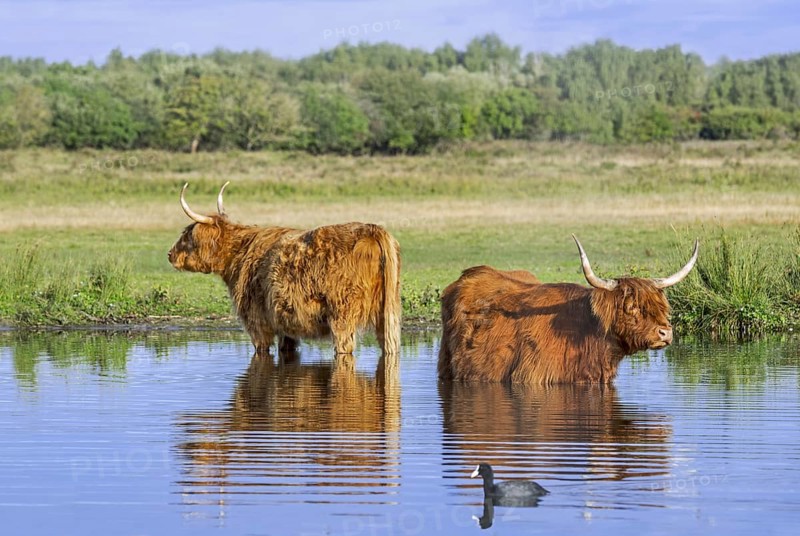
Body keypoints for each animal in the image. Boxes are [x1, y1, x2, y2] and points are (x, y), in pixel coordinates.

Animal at [168, 182, 401, 357]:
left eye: (186, 235)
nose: (170, 254)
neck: (238, 253)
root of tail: (372, 230)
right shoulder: (286, 324)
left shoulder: (256, 320)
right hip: (389, 312)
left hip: (341, 314)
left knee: (345, 347)